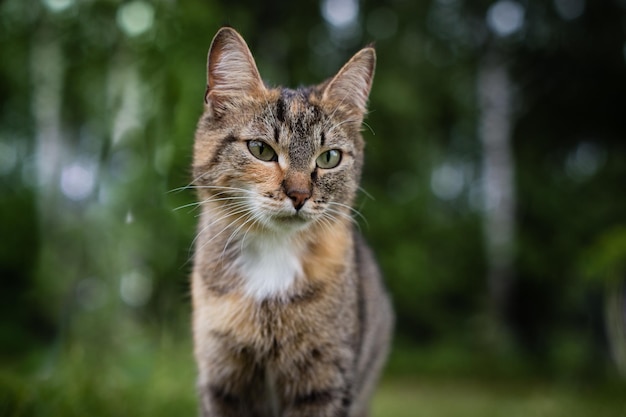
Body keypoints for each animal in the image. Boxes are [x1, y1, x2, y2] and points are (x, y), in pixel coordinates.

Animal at [190, 27, 392, 414]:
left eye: (329, 157)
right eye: (261, 150)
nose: (299, 195)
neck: (273, 255)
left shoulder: (325, 382)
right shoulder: (221, 378)